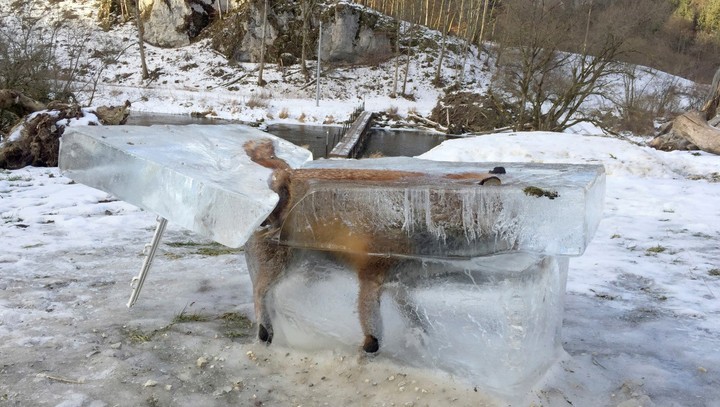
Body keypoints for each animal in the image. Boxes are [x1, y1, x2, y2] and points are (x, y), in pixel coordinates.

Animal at [242, 138, 500, 354]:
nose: (499, 169)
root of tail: (287, 173)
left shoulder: (400, 282)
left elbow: (414, 315)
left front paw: (420, 336)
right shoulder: (371, 274)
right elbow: (373, 329)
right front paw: (369, 348)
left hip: (311, 270)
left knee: (281, 295)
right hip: (282, 264)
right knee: (260, 291)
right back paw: (265, 330)